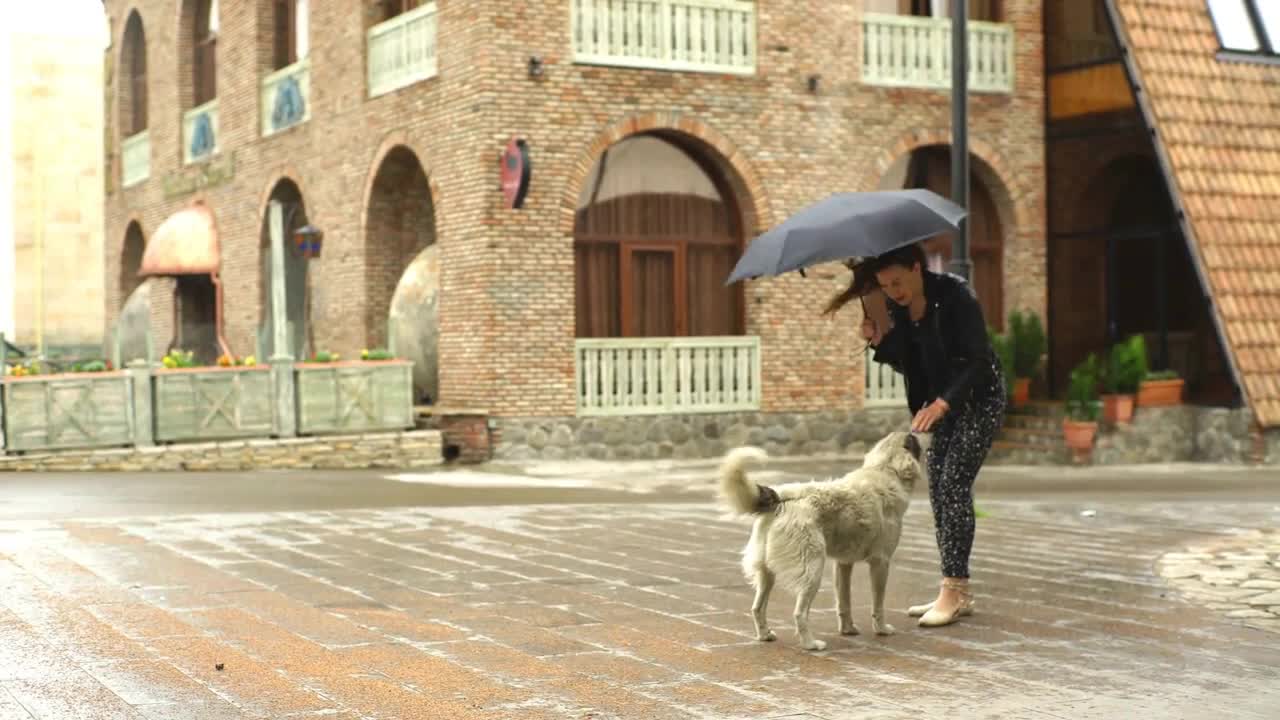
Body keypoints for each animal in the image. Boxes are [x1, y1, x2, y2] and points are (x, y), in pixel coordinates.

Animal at [721, 430, 921, 650]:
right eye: (912, 441)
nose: (915, 431)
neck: (884, 470)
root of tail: (782, 498)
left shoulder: (843, 564)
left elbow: (844, 602)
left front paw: (848, 630)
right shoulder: (880, 563)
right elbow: (878, 604)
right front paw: (882, 629)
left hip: (768, 572)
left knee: (757, 608)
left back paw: (765, 635)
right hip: (813, 570)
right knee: (799, 614)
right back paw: (810, 644)